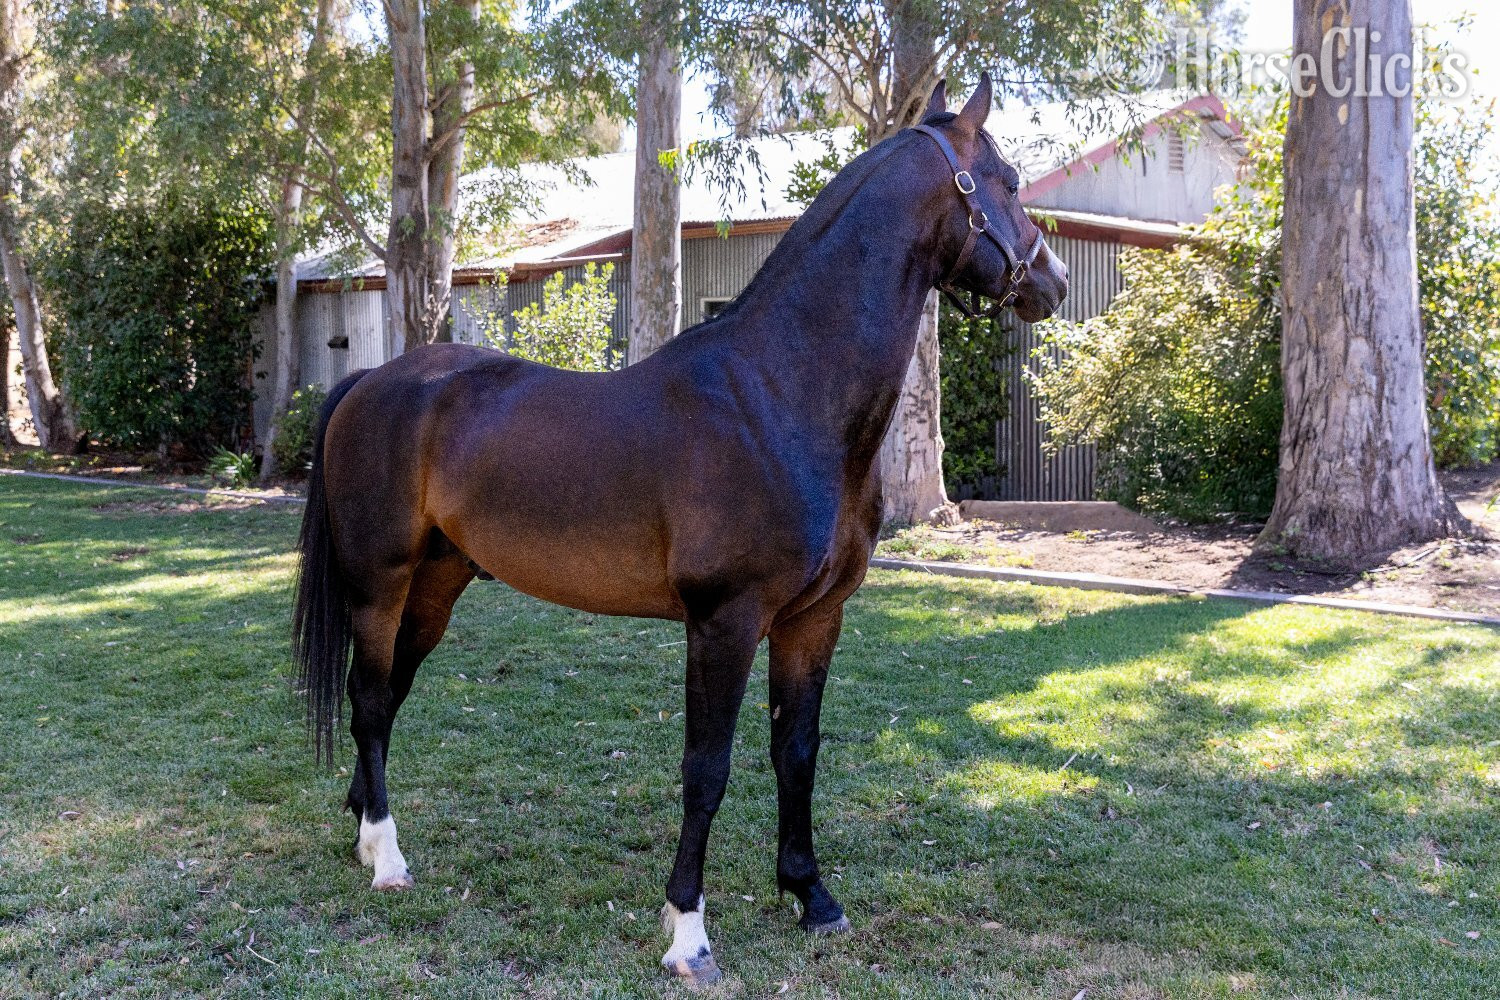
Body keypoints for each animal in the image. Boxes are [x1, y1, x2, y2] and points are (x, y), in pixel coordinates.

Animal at [292, 73, 1068, 985]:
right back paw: (386, 857)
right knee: (371, 700)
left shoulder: (813, 620)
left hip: (438, 586)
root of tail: (373, 380)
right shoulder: (723, 623)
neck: (780, 393)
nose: (1052, 281)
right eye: (1009, 181)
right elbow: (708, 769)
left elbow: (795, 752)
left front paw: (812, 897)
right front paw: (688, 932)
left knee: (385, 697)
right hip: (379, 583)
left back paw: (360, 828)